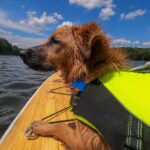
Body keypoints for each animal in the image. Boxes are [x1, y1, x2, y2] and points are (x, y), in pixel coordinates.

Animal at [20, 22, 129, 150]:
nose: (21, 53)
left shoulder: (87, 142)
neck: (89, 74)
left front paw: (41, 126)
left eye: (55, 41)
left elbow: (61, 127)